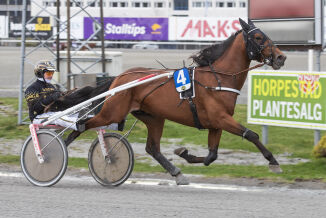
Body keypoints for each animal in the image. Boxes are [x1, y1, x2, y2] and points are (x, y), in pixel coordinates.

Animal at [70, 18, 286, 185]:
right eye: (258, 37)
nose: (281, 57)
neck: (218, 79)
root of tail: (119, 78)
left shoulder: (216, 123)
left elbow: (212, 156)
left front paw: (184, 153)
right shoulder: (221, 118)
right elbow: (251, 134)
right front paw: (273, 161)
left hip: (154, 117)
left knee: (152, 148)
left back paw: (177, 173)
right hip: (112, 112)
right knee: (81, 125)